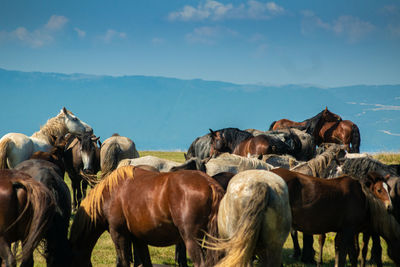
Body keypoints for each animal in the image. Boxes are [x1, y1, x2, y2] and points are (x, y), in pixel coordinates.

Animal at [270, 170, 398, 267]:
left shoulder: (346, 232)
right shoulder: (348, 231)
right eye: (379, 190)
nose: (390, 207)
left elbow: (349, 254)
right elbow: (345, 256)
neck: (363, 197)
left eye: (389, 188)